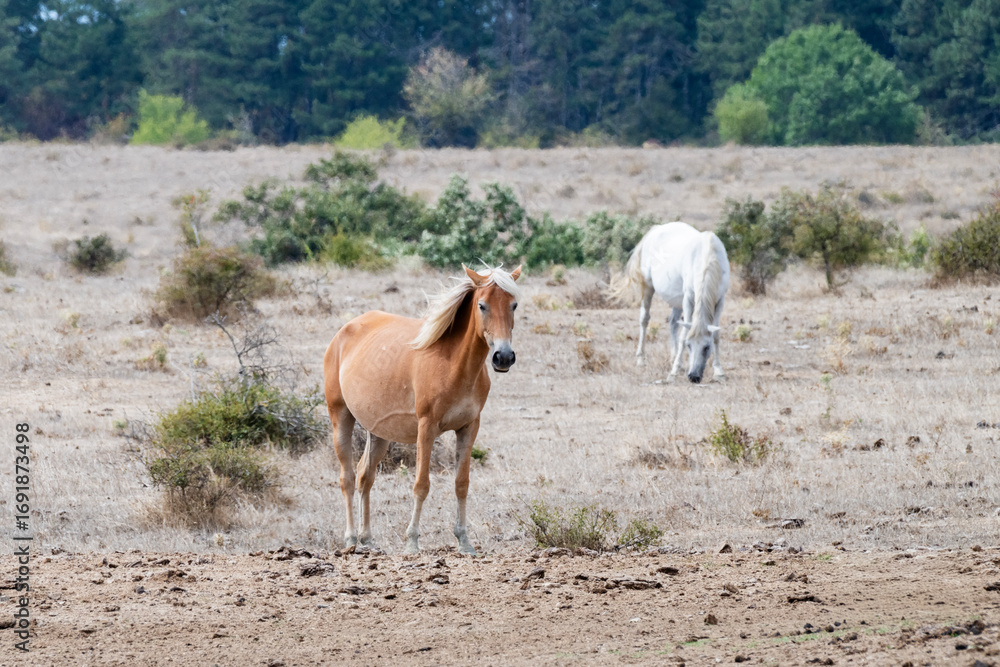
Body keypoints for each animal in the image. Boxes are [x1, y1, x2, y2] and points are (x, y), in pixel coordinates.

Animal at [323, 264, 521, 554]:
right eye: (482, 305)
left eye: (513, 305)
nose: (503, 357)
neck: (455, 365)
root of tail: (341, 333)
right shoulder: (426, 427)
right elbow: (421, 485)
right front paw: (412, 542)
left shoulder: (469, 427)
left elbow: (461, 484)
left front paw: (464, 541)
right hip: (341, 418)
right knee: (346, 478)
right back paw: (350, 539)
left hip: (379, 433)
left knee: (364, 476)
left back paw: (368, 539)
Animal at [611, 222, 730, 383]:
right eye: (689, 345)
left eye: (706, 347)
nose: (694, 376)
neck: (707, 258)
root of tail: (656, 229)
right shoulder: (688, 298)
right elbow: (683, 334)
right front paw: (673, 372)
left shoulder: (720, 300)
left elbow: (716, 335)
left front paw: (718, 371)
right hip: (648, 287)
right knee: (644, 319)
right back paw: (641, 359)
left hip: (677, 300)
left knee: (673, 322)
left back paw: (674, 360)